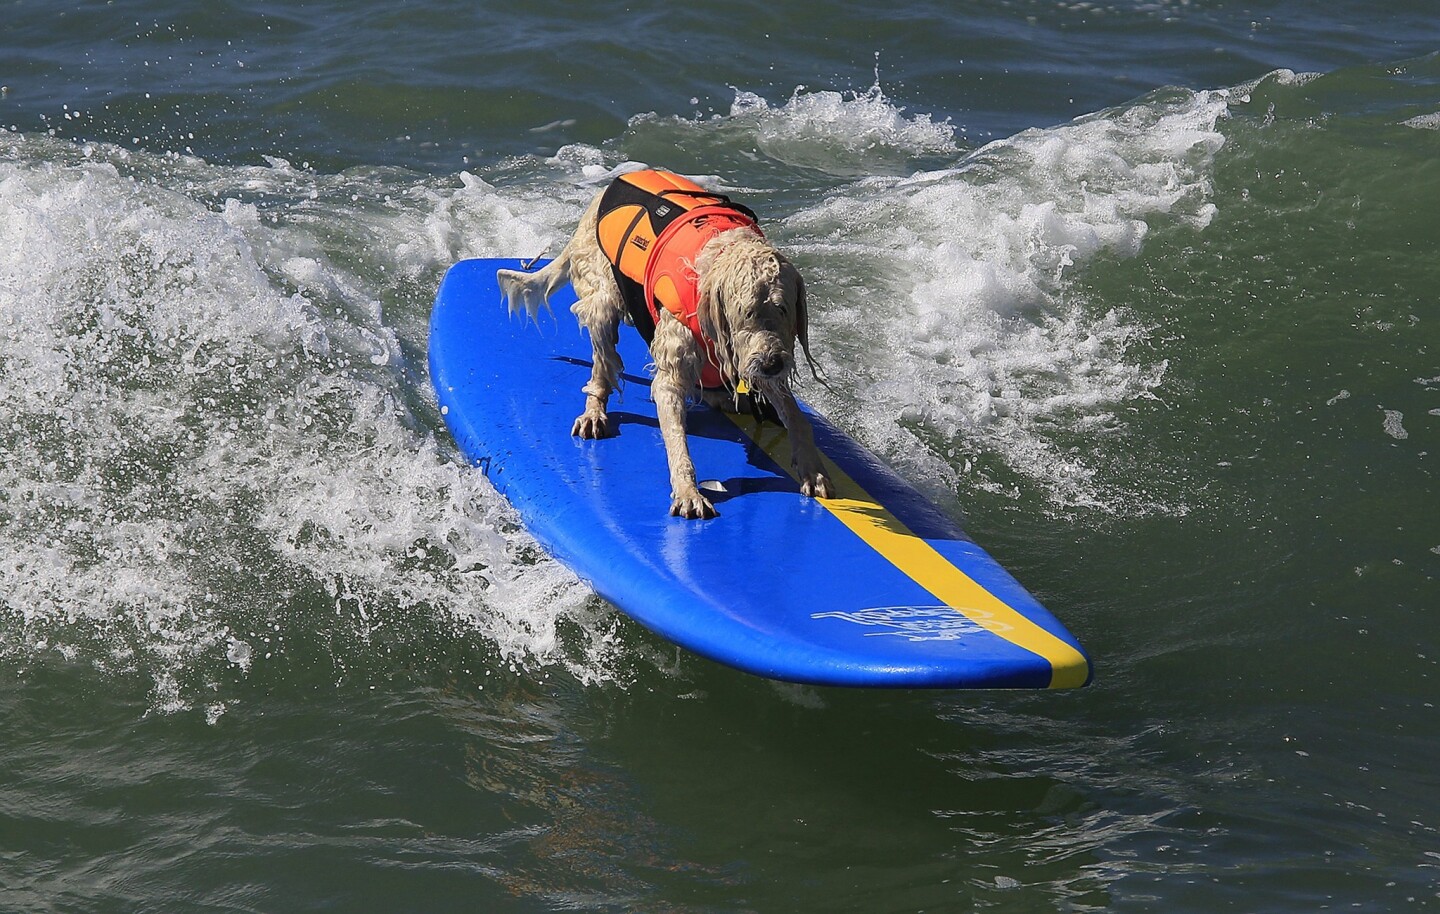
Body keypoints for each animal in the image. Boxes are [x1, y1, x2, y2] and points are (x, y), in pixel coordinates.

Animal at [495, 168, 835, 518]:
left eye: (782, 308)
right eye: (746, 312)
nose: (772, 364)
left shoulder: (758, 356)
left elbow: (795, 415)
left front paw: (812, 469)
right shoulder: (679, 368)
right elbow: (675, 434)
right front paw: (688, 491)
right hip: (602, 298)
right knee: (602, 366)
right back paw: (594, 412)